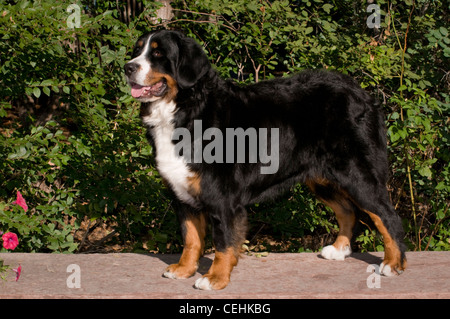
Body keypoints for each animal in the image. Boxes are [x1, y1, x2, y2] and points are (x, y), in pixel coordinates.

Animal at [124, 29, 408, 290]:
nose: (128, 67)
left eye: (159, 54)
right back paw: (339, 250)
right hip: (321, 178)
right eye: (138, 50)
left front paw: (215, 278)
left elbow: (223, 242)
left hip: (357, 174)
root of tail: (364, 94)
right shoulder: (183, 195)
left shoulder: (221, 197)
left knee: (387, 216)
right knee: (347, 210)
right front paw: (184, 269)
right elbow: (191, 239)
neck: (187, 109)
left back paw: (393, 263)